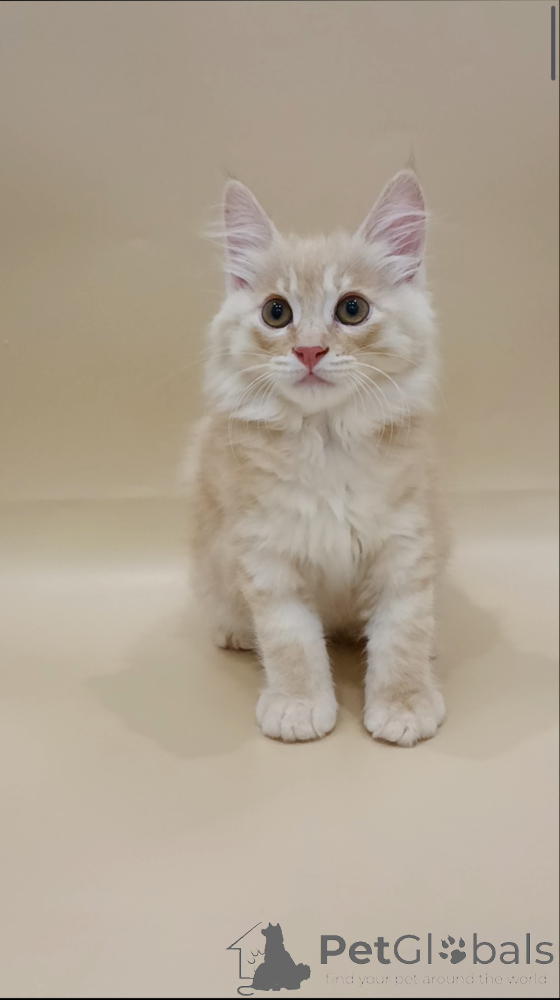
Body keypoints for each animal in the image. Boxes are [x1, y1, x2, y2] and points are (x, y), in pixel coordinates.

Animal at [187, 170, 446, 746]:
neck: (326, 444)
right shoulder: (265, 556)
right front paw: (299, 706)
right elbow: (291, 643)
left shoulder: (407, 547)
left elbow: (404, 634)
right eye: (276, 312)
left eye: (352, 309)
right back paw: (234, 631)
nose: (308, 351)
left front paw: (404, 705)